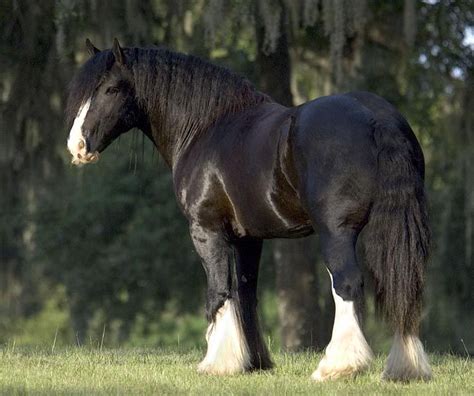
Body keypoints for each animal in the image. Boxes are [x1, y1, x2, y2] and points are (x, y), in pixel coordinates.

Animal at [66, 39, 434, 380]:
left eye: (111, 88)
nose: (77, 146)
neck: (206, 128)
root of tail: (377, 118)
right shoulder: (249, 239)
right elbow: (245, 293)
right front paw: (254, 362)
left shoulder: (206, 230)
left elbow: (219, 290)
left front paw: (217, 363)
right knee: (405, 282)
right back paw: (406, 367)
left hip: (336, 232)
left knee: (346, 283)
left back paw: (337, 366)